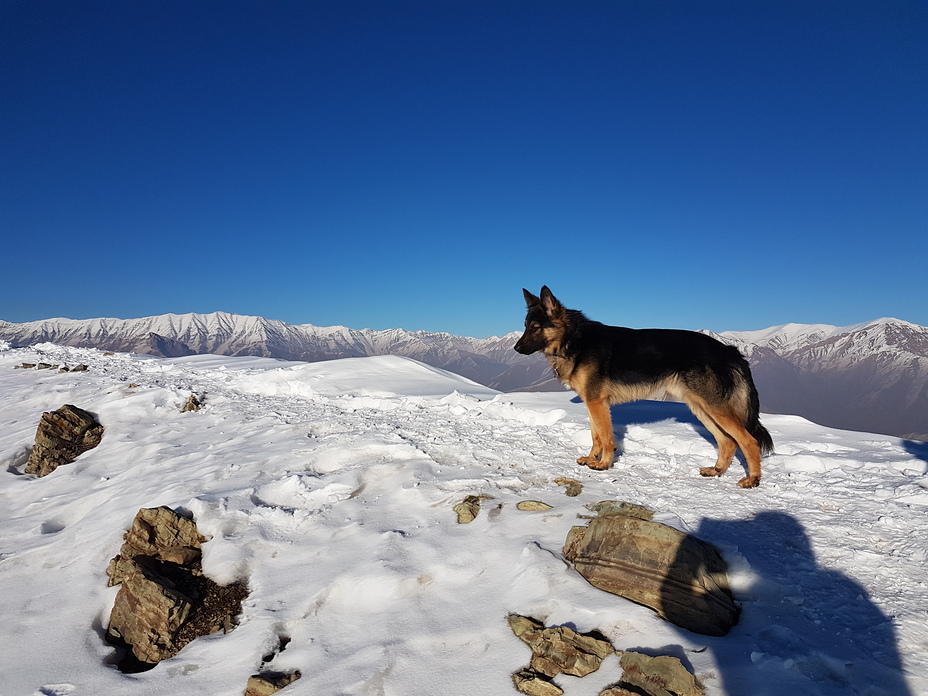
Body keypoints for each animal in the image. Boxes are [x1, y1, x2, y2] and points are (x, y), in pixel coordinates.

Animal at [520, 286, 772, 486]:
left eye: (535, 327)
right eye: (525, 326)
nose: (516, 348)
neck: (574, 339)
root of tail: (728, 350)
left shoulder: (597, 403)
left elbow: (606, 437)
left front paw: (604, 464)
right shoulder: (592, 402)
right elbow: (596, 436)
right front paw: (592, 458)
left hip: (714, 408)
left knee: (747, 441)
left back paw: (752, 479)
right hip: (701, 408)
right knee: (728, 442)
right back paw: (716, 470)